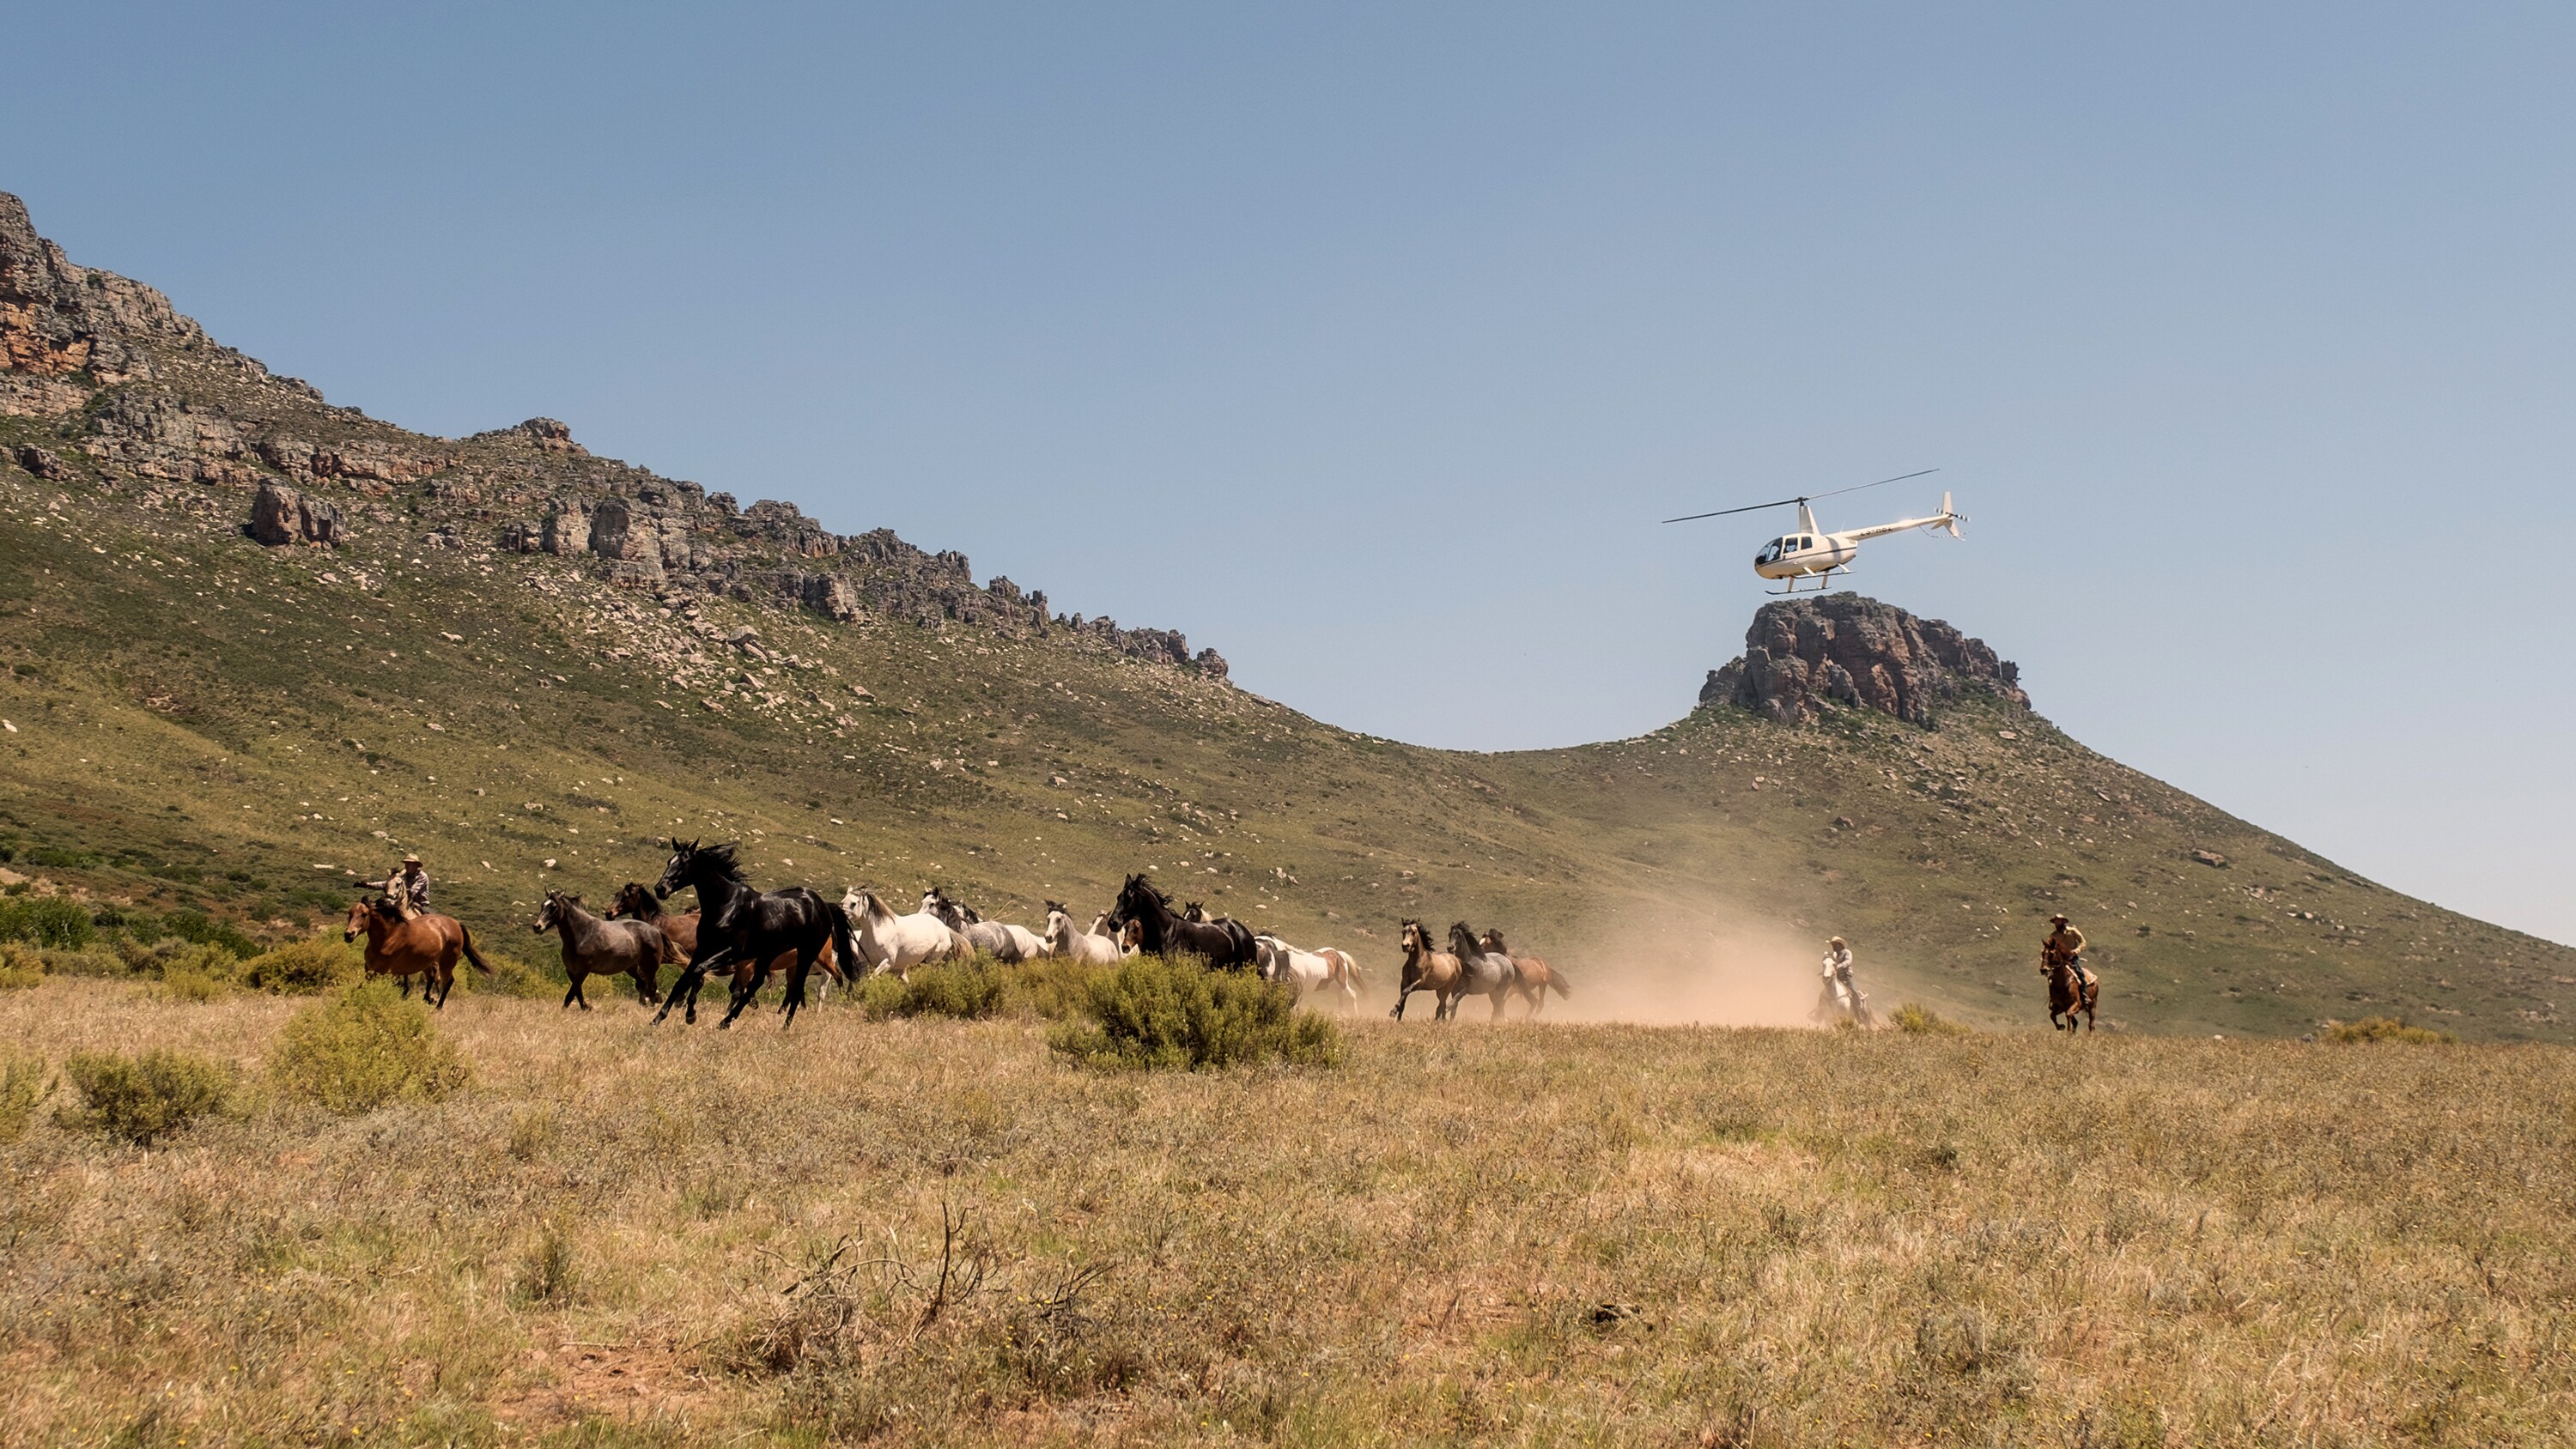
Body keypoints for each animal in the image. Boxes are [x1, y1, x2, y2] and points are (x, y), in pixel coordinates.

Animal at [343, 895, 492, 1009]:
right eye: (349, 913)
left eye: (364, 914)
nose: (348, 934)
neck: (388, 937)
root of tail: (456, 924)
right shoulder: (369, 968)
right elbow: (361, 986)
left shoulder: (381, 970)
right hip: (426, 962)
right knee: (432, 977)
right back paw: (428, 999)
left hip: (447, 963)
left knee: (448, 981)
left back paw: (438, 1007)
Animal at [649, 839, 850, 1029]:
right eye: (669, 861)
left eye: (685, 862)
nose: (661, 889)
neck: (726, 905)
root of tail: (823, 906)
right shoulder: (704, 949)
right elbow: (683, 980)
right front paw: (658, 1018)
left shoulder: (733, 952)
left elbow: (700, 971)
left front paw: (691, 1014)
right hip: (769, 954)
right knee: (757, 983)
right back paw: (726, 1021)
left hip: (806, 955)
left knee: (797, 989)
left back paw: (784, 1027)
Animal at [845, 890, 969, 983]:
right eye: (842, 902)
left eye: (853, 903)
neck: (878, 930)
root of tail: (944, 928)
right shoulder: (864, 962)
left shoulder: (888, 962)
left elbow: (871, 978)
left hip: (932, 960)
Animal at [1252, 942, 1370, 1009]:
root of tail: (1339, 954)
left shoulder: (1297, 991)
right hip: (1326, 985)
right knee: (1339, 993)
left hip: (1342, 982)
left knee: (1352, 994)